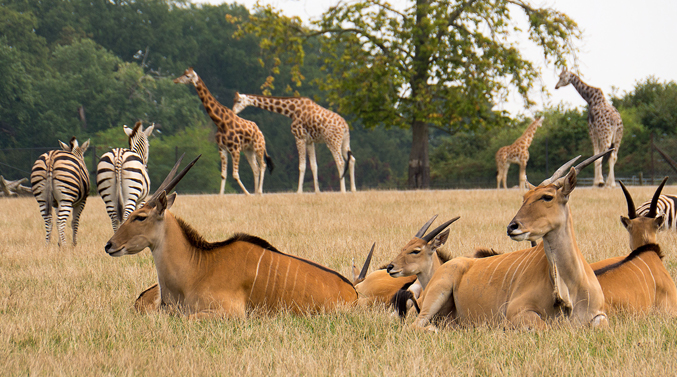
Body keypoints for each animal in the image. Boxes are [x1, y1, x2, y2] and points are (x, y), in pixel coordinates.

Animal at [410, 151, 608, 328]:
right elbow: (542, 326)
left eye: (547, 197)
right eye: (525, 197)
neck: (570, 287)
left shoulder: (600, 315)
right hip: (436, 295)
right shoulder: (515, 312)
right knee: (415, 326)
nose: (512, 227)